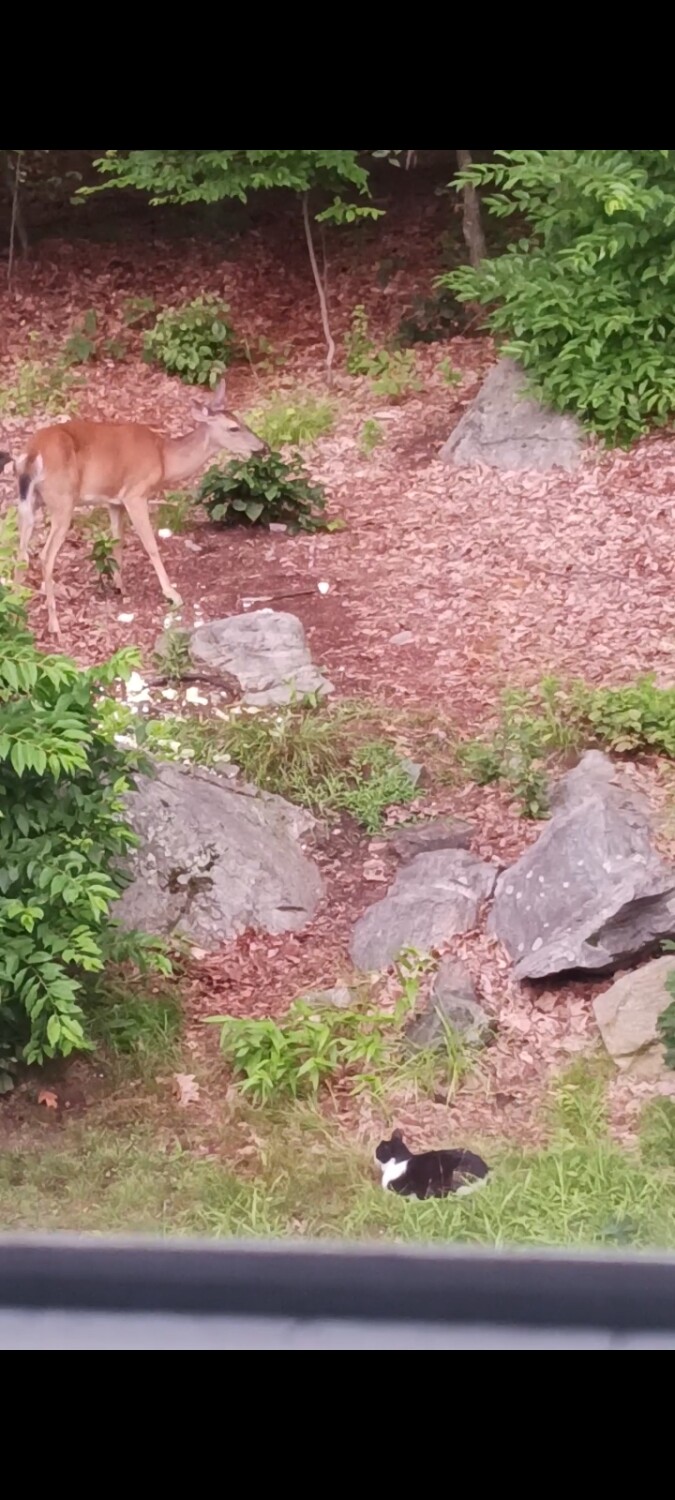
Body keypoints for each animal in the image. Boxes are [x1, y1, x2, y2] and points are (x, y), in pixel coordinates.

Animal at [7, 377, 266, 635]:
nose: (262, 447)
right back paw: (54, 624)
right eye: (233, 428)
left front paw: (120, 587)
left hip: (28, 502)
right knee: (45, 555)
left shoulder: (114, 501)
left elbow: (117, 541)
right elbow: (150, 544)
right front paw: (172, 594)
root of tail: (33, 454)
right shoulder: (136, 494)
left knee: (21, 553)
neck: (164, 458)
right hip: (62, 500)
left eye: (241, 421)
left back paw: (17, 611)